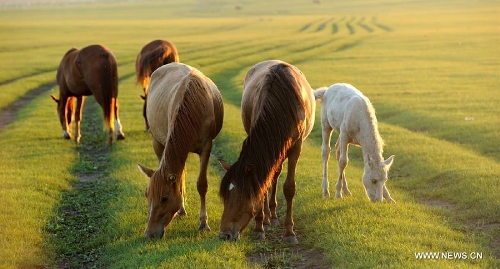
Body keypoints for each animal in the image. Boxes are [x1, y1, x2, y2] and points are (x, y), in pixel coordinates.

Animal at [137, 62, 223, 237]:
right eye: (147, 195)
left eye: (165, 198)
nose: (150, 233)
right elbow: (179, 178)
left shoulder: (207, 146)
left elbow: (201, 184)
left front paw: (203, 223)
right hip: (157, 141)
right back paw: (181, 209)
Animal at [218, 60, 314, 243]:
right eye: (225, 197)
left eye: (241, 198)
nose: (224, 235)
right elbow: (262, 186)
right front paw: (259, 227)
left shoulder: (295, 147)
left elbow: (289, 187)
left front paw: (289, 232)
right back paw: (268, 219)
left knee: (275, 175)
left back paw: (274, 217)